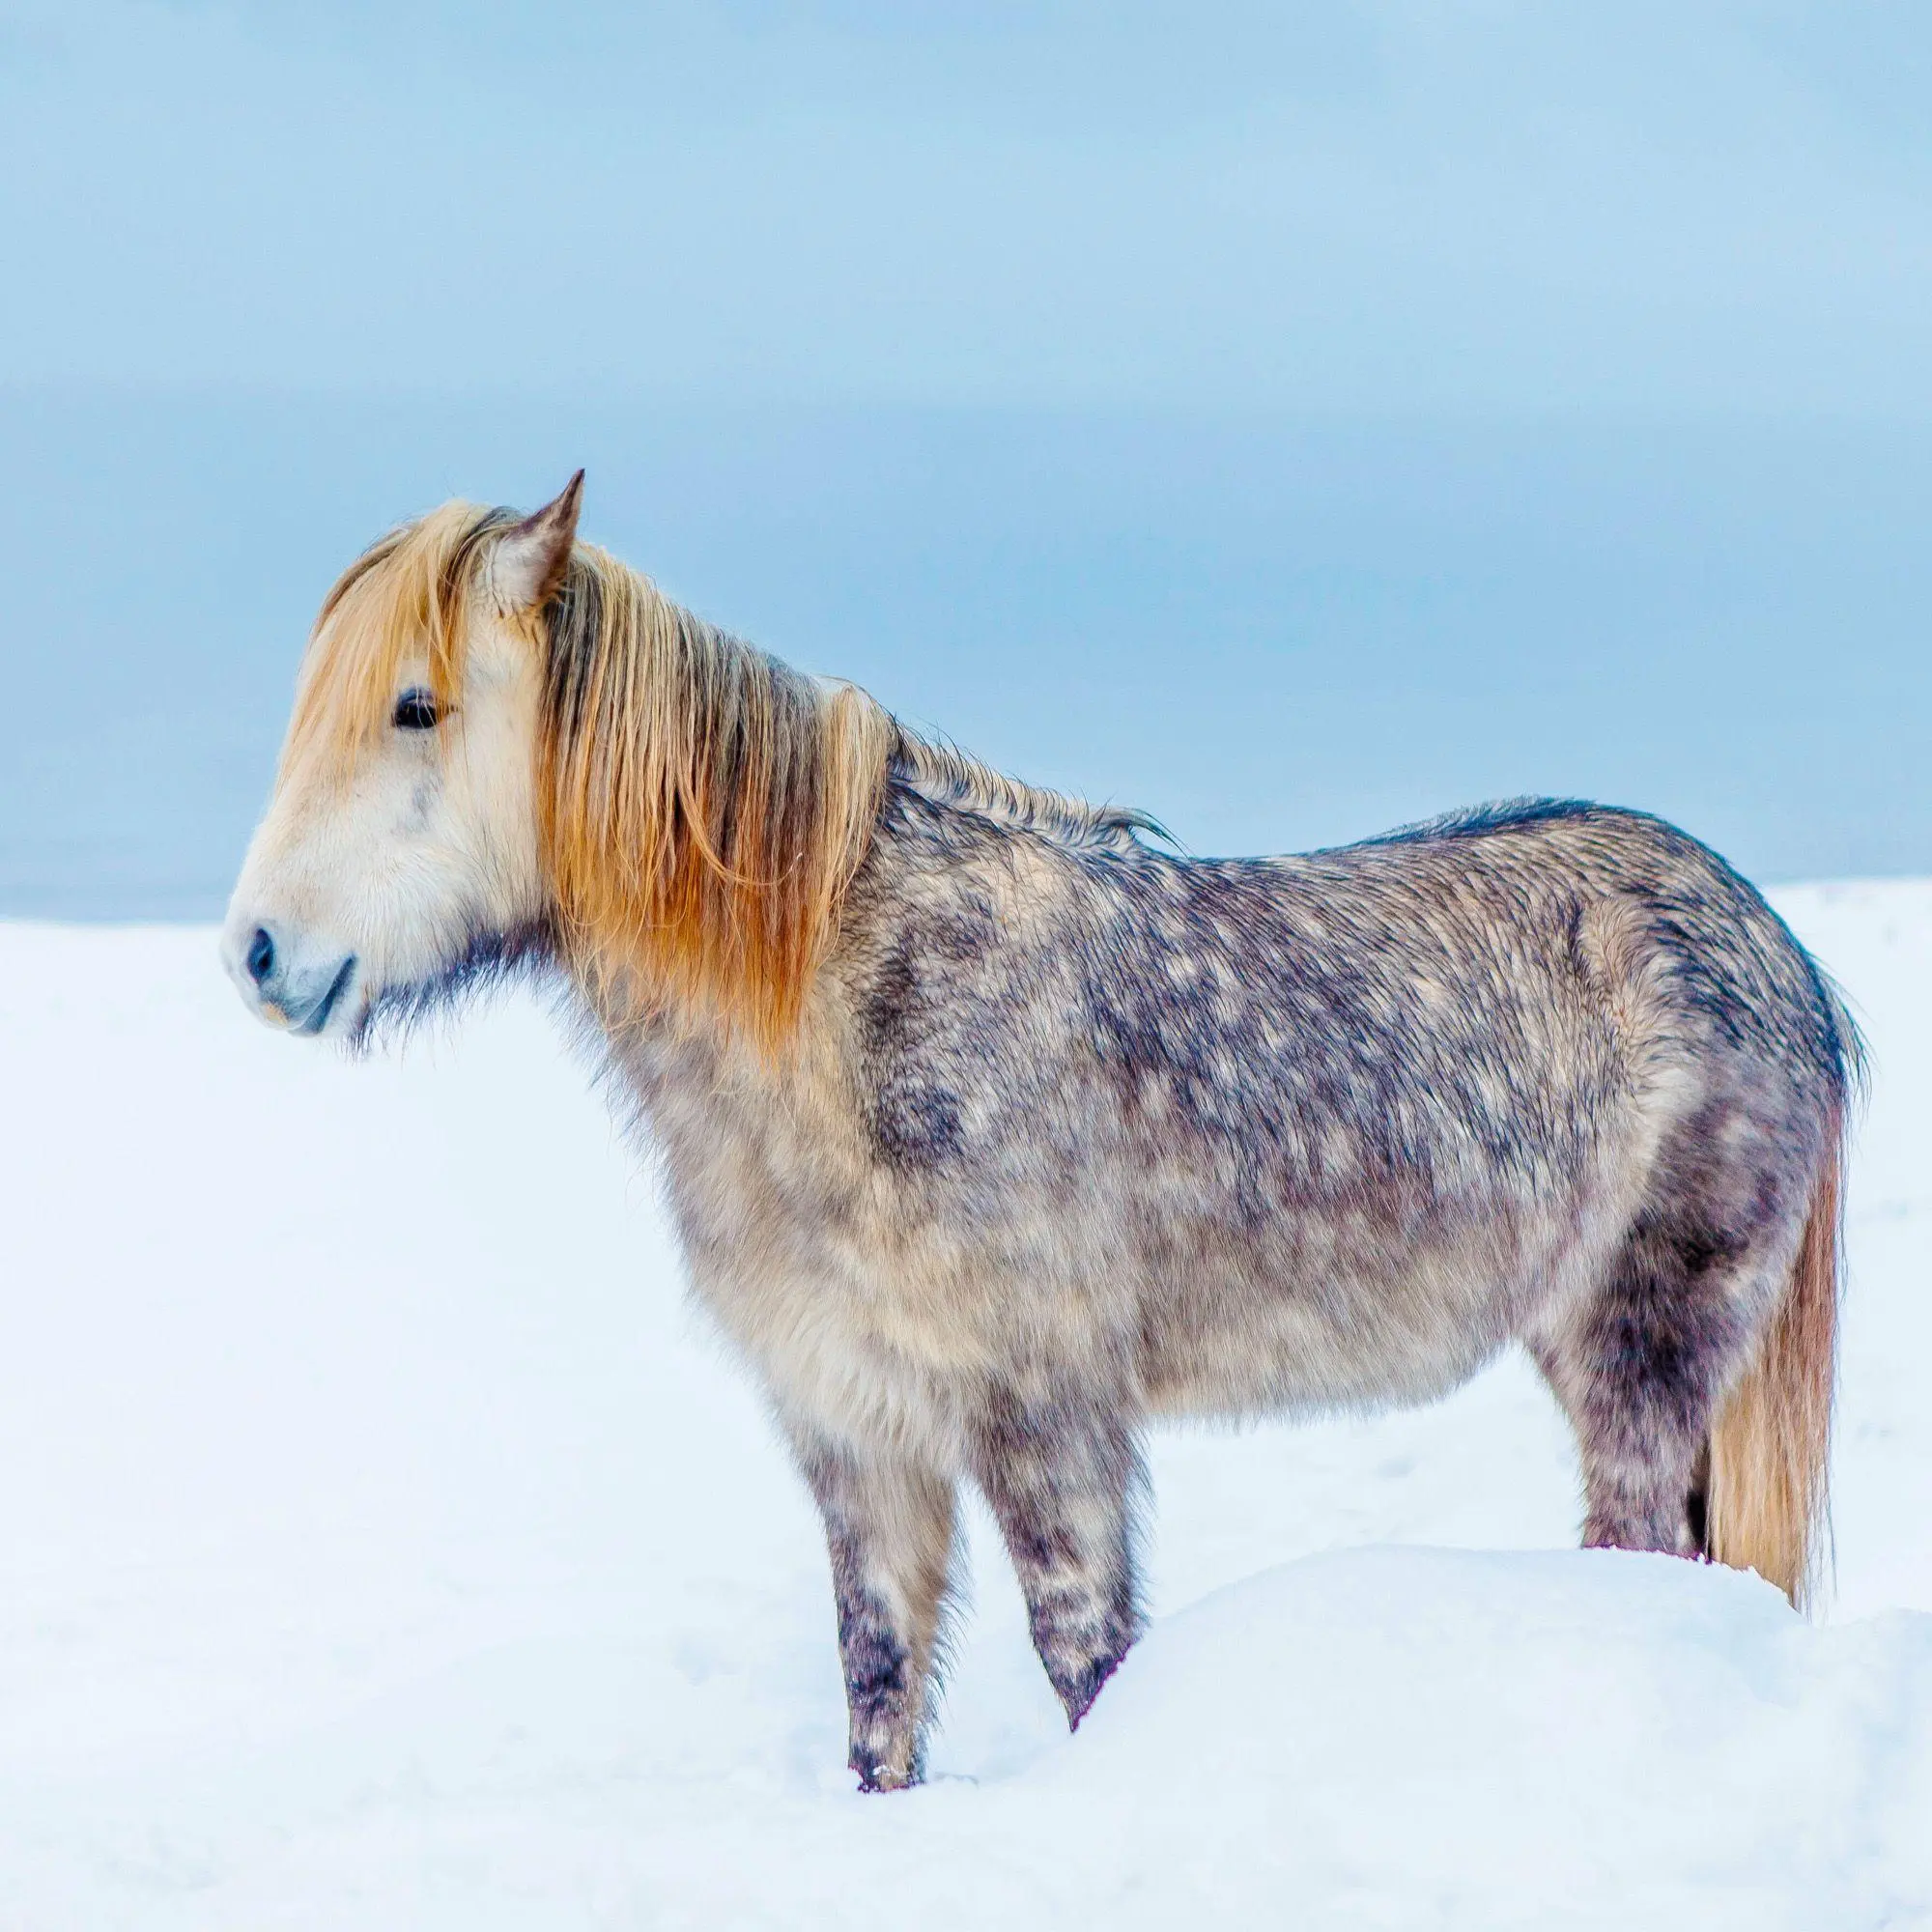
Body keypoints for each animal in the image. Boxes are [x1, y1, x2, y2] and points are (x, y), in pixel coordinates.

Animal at [224, 475, 1860, 1792]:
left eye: (416, 706)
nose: (257, 953)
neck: (847, 1012)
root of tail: (1778, 953)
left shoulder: (1044, 1411)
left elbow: (1089, 1659)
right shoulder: (855, 1426)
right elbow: (879, 1680)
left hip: (1646, 1347)